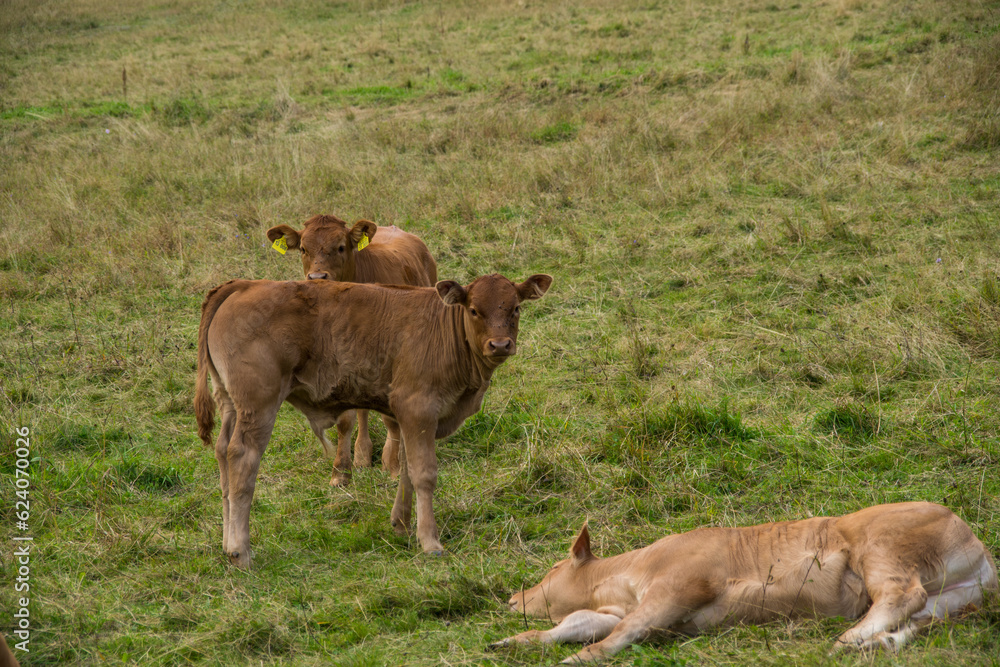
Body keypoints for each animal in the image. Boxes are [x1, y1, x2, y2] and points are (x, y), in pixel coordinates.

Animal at [193, 274, 556, 568]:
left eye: (515, 309)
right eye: (475, 310)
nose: (500, 344)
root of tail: (244, 284)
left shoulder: (410, 418)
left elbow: (407, 469)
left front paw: (402, 525)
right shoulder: (418, 407)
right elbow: (424, 474)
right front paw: (430, 541)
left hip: (229, 402)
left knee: (223, 453)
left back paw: (226, 543)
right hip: (258, 403)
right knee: (242, 458)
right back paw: (240, 550)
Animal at [266, 215, 438, 486]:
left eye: (340, 247)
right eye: (303, 248)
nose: (317, 277)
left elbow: (391, 418)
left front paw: (393, 467)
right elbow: (346, 420)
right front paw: (341, 471)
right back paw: (362, 454)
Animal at [496, 506, 996, 664]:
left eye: (552, 568)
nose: (512, 597)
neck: (627, 579)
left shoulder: (677, 587)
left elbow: (621, 632)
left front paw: (577, 659)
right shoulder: (637, 609)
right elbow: (582, 621)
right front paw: (512, 641)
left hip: (884, 550)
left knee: (901, 594)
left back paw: (844, 641)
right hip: (952, 598)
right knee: (916, 619)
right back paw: (872, 645)